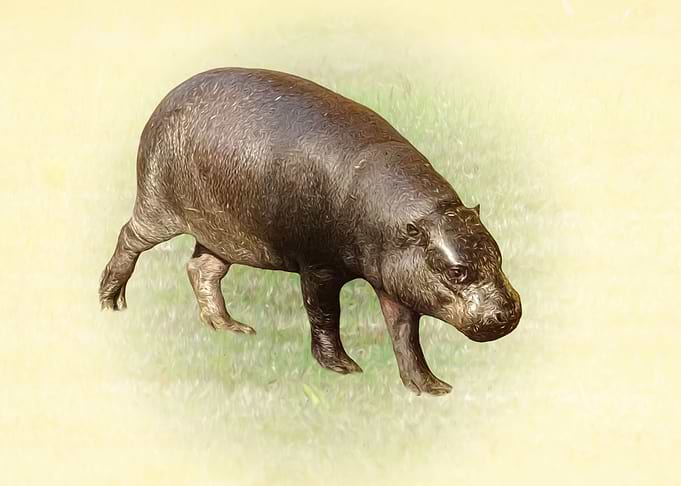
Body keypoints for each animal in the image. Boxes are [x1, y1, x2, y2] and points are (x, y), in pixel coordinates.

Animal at [99, 68, 521, 396]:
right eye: (456, 271)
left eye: (499, 256)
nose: (508, 312)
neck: (412, 218)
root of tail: (167, 97)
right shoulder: (318, 267)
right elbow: (324, 315)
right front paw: (344, 369)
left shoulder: (397, 280)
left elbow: (405, 335)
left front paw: (431, 388)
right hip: (158, 206)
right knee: (128, 238)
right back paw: (111, 303)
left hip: (223, 233)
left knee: (201, 269)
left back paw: (232, 328)